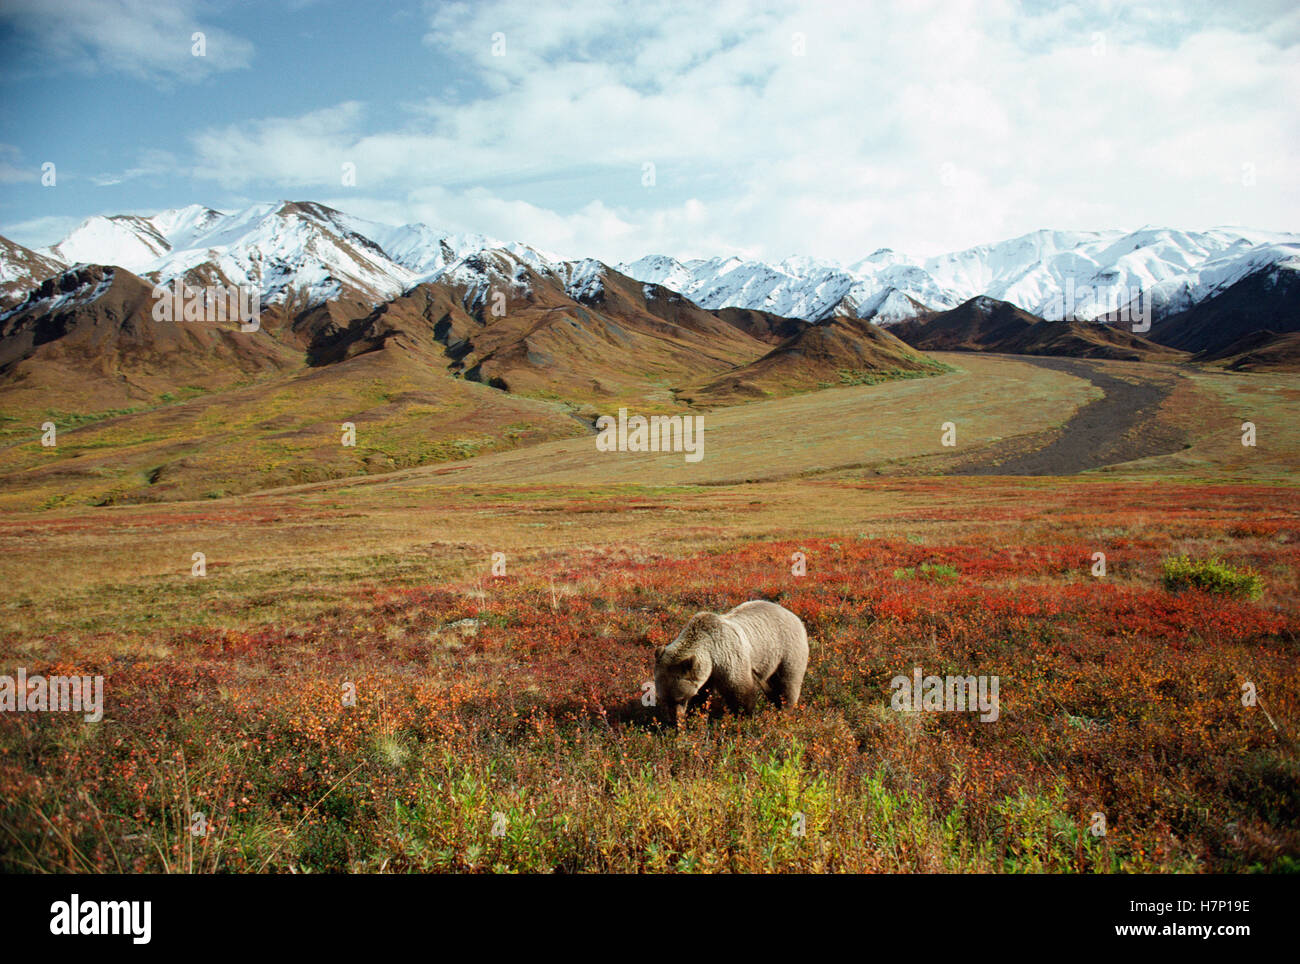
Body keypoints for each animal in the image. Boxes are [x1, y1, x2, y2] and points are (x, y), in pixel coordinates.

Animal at [654, 599, 809, 725]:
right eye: (664, 699)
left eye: (680, 698)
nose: (673, 720)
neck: (711, 655)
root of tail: (794, 615)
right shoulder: (707, 673)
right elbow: (702, 695)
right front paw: (695, 715)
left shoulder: (729, 657)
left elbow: (740, 691)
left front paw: (744, 717)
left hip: (787, 651)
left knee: (788, 683)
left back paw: (784, 710)